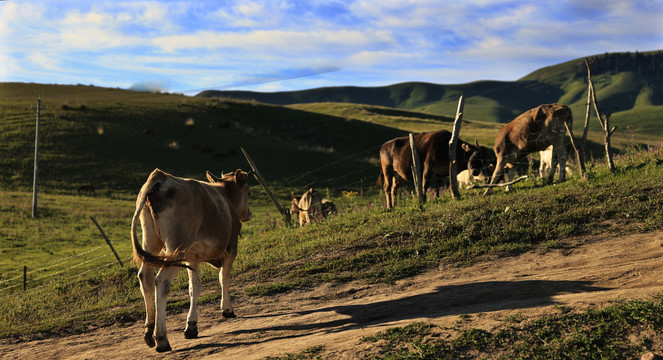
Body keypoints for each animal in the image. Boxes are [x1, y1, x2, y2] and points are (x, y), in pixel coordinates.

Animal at [132, 168, 252, 352]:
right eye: (249, 192)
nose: (249, 214)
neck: (225, 197)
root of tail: (162, 176)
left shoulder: (192, 259)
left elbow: (194, 288)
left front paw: (191, 325)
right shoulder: (231, 249)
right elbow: (223, 279)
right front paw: (227, 309)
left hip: (150, 241)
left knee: (145, 277)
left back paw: (149, 332)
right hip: (176, 247)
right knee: (162, 281)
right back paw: (161, 338)